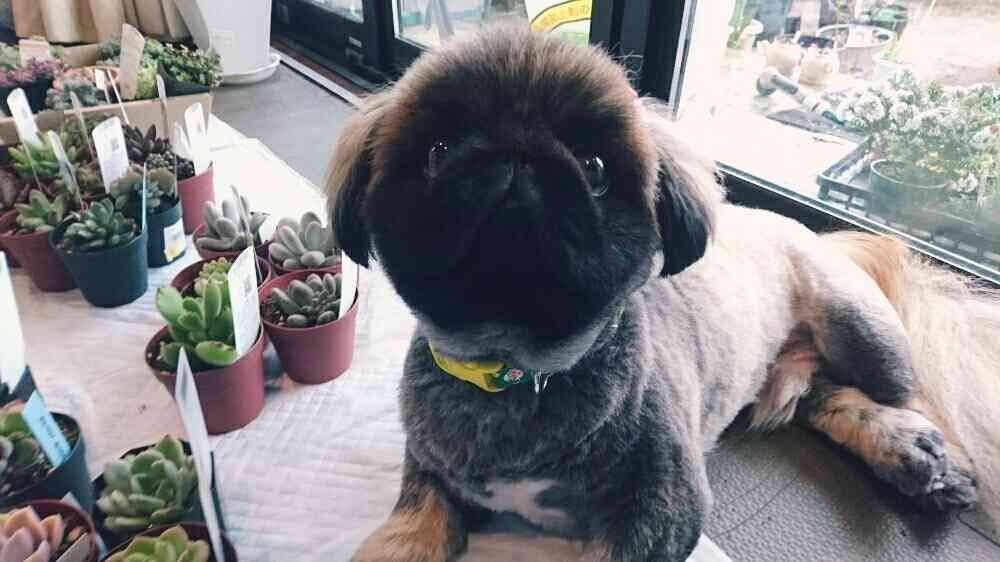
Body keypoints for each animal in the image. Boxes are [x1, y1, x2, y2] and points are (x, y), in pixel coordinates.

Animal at [326, 25, 1000, 562]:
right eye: (438, 151)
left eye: (595, 168)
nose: (516, 154)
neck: (515, 372)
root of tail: (810, 230)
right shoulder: (431, 469)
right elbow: (412, 524)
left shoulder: (662, 509)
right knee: (826, 396)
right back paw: (901, 449)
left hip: (863, 331)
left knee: (910, 397)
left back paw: (929, 456)